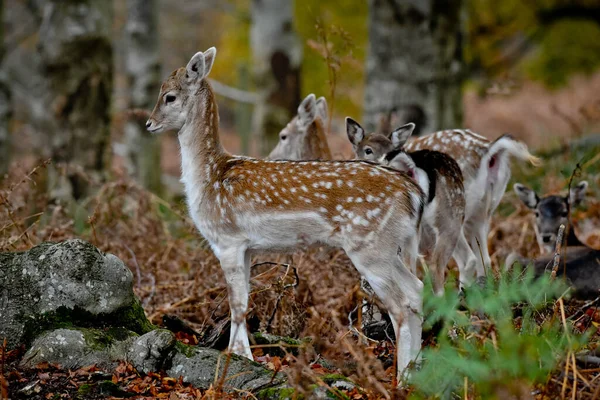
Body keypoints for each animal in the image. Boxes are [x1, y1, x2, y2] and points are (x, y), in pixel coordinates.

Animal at [145, 48, 426, 374]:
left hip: (370, 246)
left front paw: (237, 359)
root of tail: (413, 194)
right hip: (394, 247)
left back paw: (402, 377)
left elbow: (236, 305)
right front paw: (243, 355)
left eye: (170, 96)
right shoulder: (246, 247)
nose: (149, 124)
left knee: (400, 306)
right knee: (417, 290)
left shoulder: (226, 239)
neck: (209, 176)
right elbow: (245, 301)